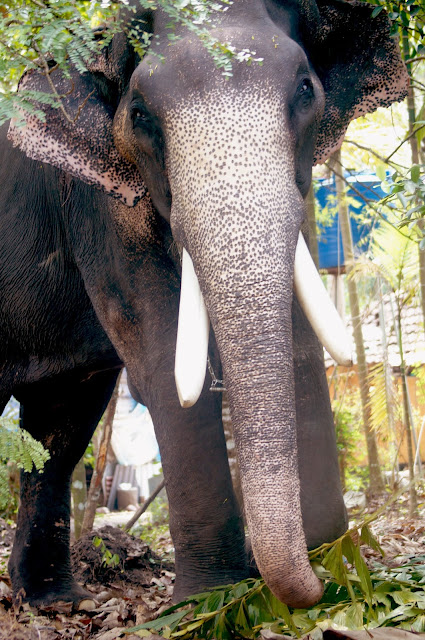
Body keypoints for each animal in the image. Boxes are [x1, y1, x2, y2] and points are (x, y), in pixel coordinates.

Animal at [0, 0, 408, 608]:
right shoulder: (99, 205)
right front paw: (207, 602)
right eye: (139, 114)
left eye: (305, 88)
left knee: (58, 427)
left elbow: (300, 340)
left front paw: (332, 563)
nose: (316, 586)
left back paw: (54, 600)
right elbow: (159, 356)